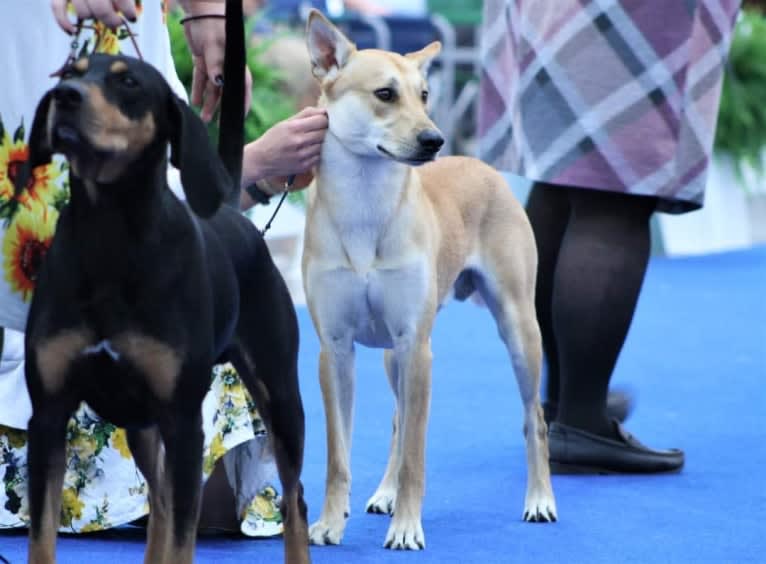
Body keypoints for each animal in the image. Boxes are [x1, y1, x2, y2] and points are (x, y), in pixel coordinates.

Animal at [14, 1, 308, 564]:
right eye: (67, 74)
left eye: (128, 82)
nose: (66, 98)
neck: (110, 237)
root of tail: (232, 212)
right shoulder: (49, 416)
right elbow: (42, 536)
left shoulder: (184, 422)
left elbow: (184, 535)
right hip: (140, 424)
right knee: (162, 502)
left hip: (279, 392)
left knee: (294, 498)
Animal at [302, 9, 560, 552]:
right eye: (384, 93)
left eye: (424, 94)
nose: (434, 140)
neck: (366, 209)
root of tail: (483, 165)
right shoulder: (335, 349)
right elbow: (339, 453)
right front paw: (331, 523)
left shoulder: (416, 346)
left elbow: (417, 457)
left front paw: (406, 527)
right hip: (390, 357)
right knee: (399, 422)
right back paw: (383, 493)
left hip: (517, 330)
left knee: (534, 419)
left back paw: (540, 499)